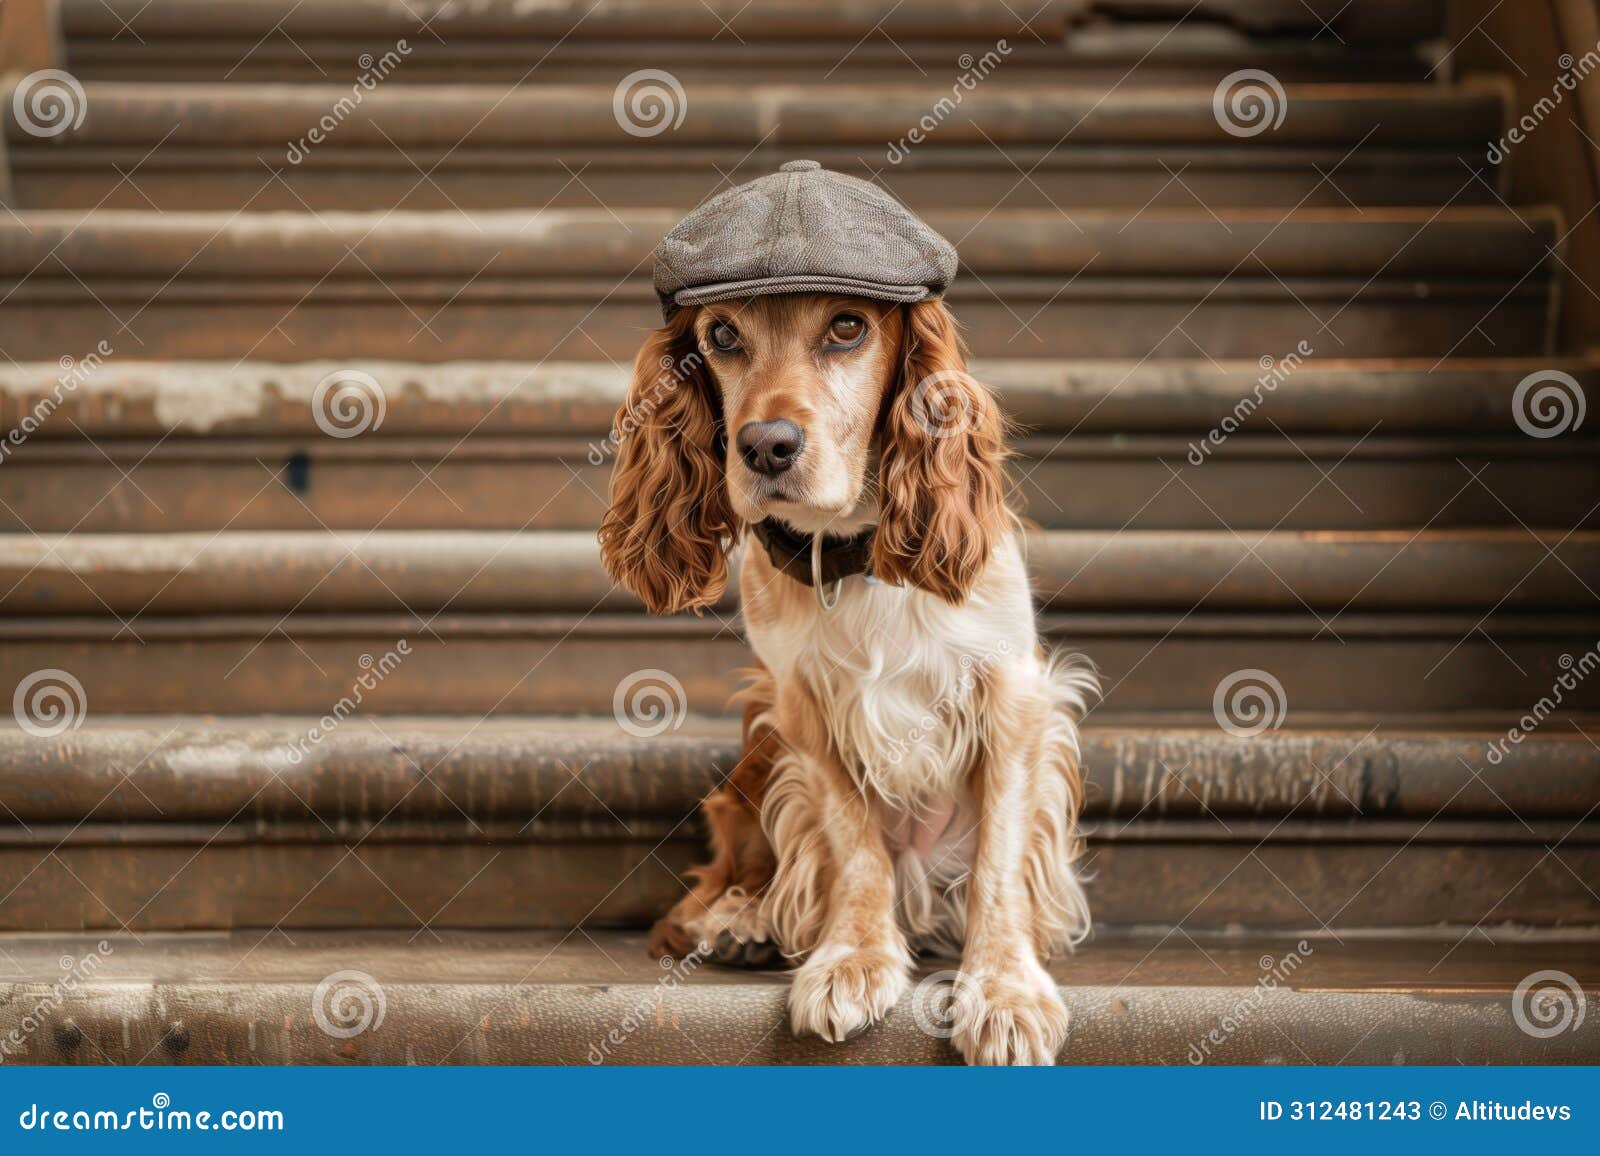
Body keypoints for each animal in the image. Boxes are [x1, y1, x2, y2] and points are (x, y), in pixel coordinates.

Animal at [601, 289, 1100, 1063]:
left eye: (847, 326)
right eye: (722, 335)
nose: (765, 445)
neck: (851, 554)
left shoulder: (1013, 696)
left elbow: (999, 861)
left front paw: (1005, 991)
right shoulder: (800, 706)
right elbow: (853, 842)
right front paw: (853, 959)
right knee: (732, 876)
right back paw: (743, 923)